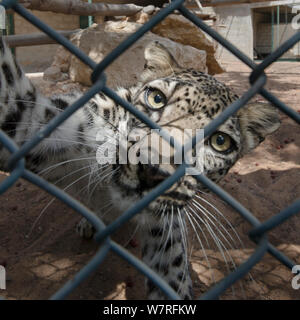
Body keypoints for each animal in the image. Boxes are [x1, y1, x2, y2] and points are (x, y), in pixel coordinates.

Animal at [0, 38, 278, 300]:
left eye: (220, 142)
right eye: (156, 99)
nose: (152, 170)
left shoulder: (165, 227)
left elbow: (172, 276)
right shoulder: (35, 122)